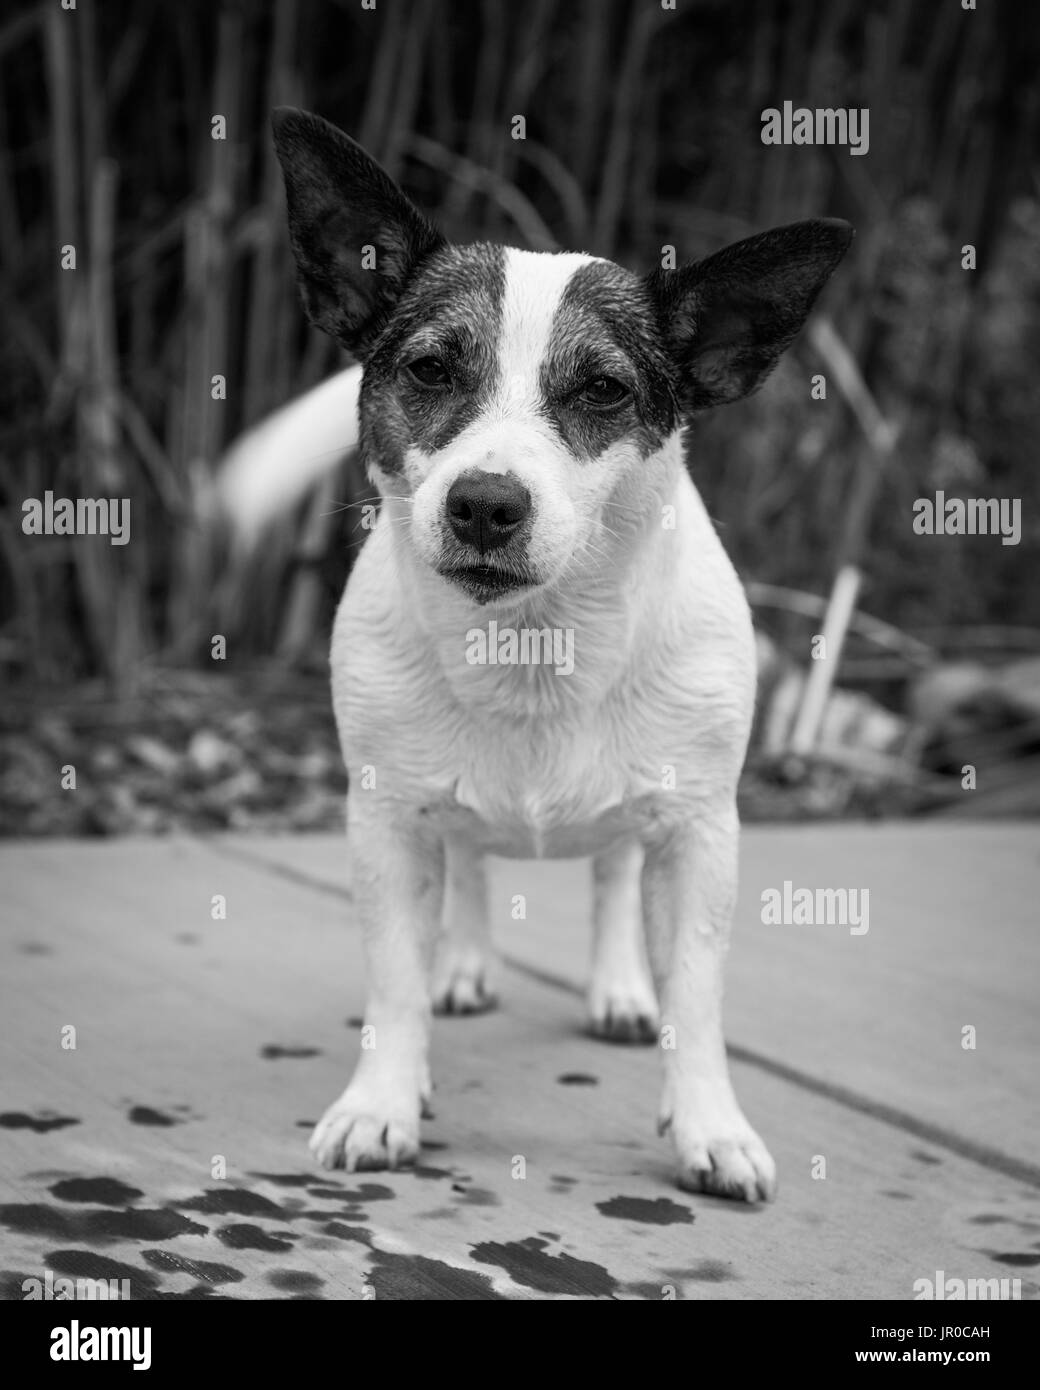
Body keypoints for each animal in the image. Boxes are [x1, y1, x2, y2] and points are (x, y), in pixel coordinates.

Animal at [261, 108, 850, 1200]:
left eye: (603, 390)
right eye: (429, 370)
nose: (485, 503)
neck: (534, 640)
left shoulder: (701, 833)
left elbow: (696, 993)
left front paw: (709, 1123)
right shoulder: (383, 821)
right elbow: (393, 979)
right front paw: (382, 1099)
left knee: (615, 872)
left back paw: (619, 986)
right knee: (466, 864)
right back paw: (461, 965)